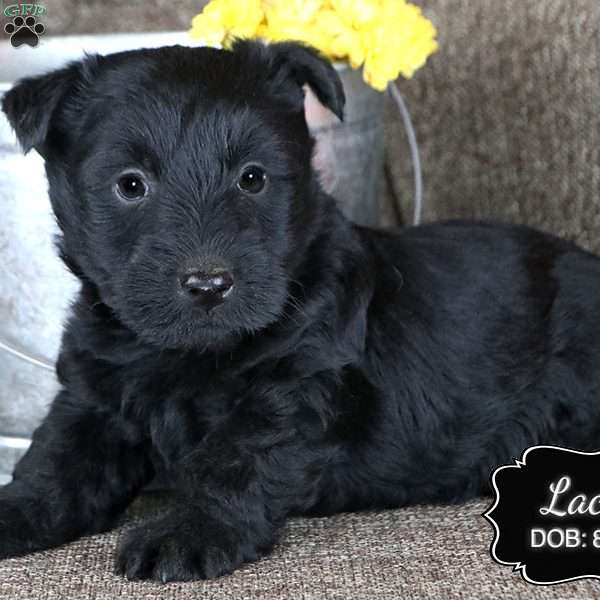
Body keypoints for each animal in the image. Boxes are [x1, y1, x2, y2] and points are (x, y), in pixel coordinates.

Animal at [1, 41, 600, 580]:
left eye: (253, 177)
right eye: (130, 185)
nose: (209, 284)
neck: (187, 351)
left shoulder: (293, 389)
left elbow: (234, 460)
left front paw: (187, 531)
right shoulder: (93, 394)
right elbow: (57, 456)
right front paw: (16, 506)